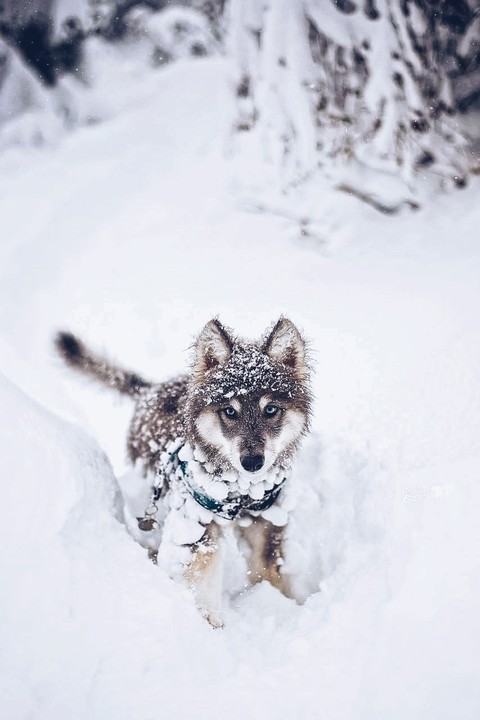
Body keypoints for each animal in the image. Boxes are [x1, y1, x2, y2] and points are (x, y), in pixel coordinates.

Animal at [55, 318, 312, 627]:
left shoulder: (266, 520)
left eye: (271, 409)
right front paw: (208, 622)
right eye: (229, 411)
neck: (239, 491)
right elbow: (201, 572)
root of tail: (151, 390)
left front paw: (273, 605)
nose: (252, 462)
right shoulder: (195, 521)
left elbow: (267, 571)